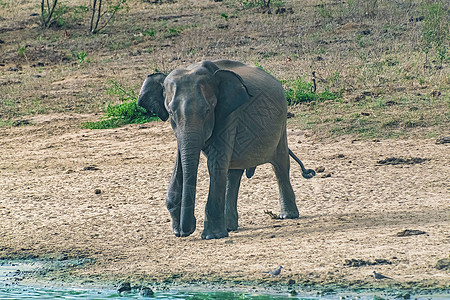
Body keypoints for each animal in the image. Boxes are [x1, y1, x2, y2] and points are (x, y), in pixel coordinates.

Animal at [135, 60, 314, 239]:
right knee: (234, 172)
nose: (186, 230)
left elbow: (215, 163)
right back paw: (230, 227)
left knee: (280, 164)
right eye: (171, 112)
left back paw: (287, 215)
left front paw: (211, 236)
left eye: (208, 110)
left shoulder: (229, 113)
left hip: (282, 122)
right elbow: (180, 162)